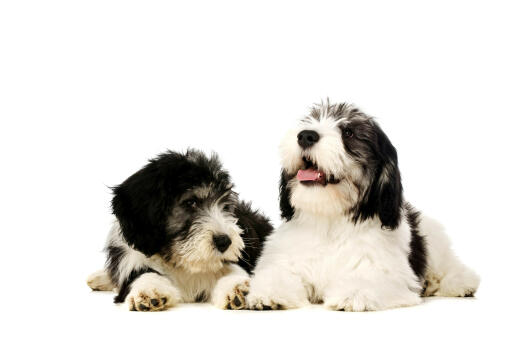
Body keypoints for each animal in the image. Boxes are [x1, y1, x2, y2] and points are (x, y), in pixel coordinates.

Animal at [87, 149, 276, 310]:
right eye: (190, 202)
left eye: (225, 206)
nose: (224, 242)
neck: (181, 262)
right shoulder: (132, 260)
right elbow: (142, 274)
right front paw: (149, 289)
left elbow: (232, 270)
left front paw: (237, 287)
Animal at [246, 101, 482, 310]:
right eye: (309, 121)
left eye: (348, 132)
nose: (305, 135)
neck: (330, 220)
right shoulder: (284, 259)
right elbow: (277, 274)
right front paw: (268, 294)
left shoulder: (385, 270)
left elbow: (367, 279)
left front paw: (354, 295)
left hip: (435, 242)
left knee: (451, 267)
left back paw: (459, 284)